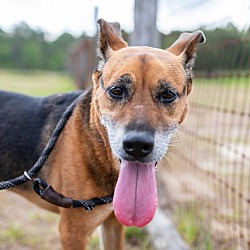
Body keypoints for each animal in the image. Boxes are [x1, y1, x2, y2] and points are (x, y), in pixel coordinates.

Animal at [0, 18, 205, 249]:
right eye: (116, 91)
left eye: (168, 94)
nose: (137, 146)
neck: (98, 152)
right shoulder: (73, 233)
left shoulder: (114, 223)